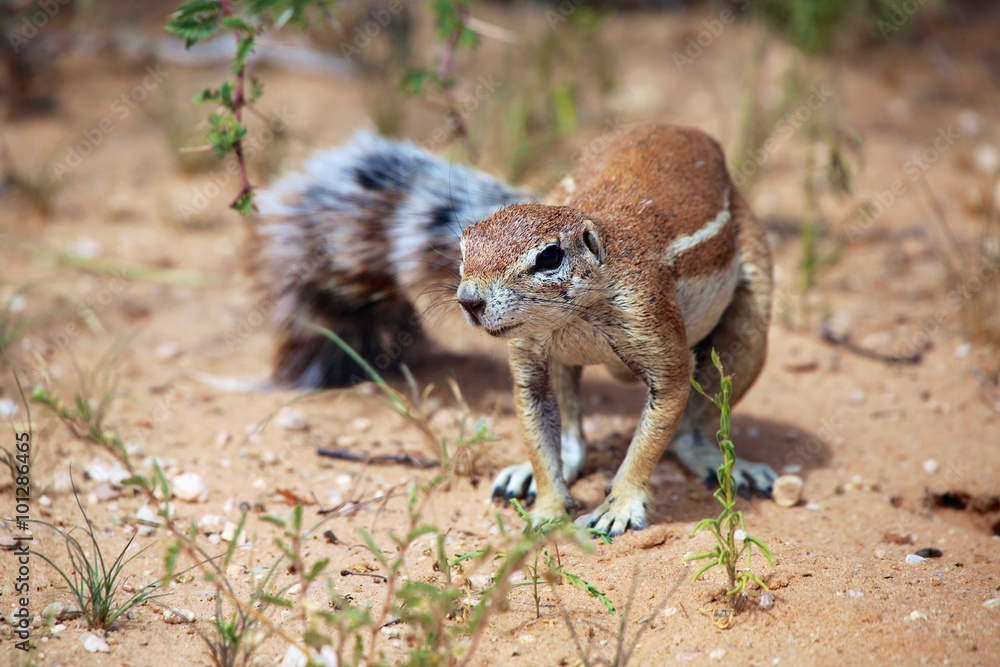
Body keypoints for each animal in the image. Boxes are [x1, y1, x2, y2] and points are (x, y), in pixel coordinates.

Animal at [249, 123, 776, 535]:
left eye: (549, 257)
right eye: (463, 247)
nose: (469, 300)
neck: (574, 316)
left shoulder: (653, 327)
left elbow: (654, 429)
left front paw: (620, 506)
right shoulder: (530, 356)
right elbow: (537, 423)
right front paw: (547, 508)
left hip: (751, 314)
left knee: (694, 425)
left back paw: (722, 463)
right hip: (564, 363)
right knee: (572, 437)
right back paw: (541, 470)